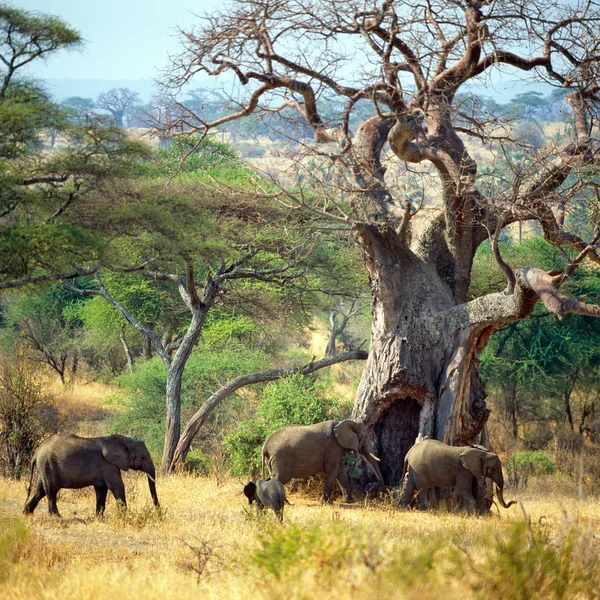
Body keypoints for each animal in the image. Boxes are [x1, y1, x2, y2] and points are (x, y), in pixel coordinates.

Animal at [23, 432, 159, 516]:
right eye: (142, 458)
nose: (159, 514)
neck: (125, 440)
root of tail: (37, 452)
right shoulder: (108, 464)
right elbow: (117, 486)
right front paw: (125, 516)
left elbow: (101, 489)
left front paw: (99, 518)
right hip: (48, 464)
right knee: (51, 490)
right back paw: (57, 516)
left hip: (44, 466)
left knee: (40, 491)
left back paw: (26, 513)